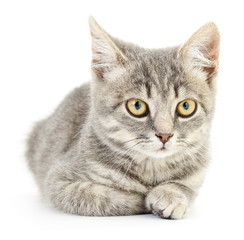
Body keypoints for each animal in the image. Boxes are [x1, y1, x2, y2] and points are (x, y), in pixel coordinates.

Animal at [26, 16, 219, 219]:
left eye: (186, 106)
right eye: (137, 106)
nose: (165, 135)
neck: (151, 168)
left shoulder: (196, 176)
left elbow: (185, 187)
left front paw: (170, 195)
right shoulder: (58, 181)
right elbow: (104, 197)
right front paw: (141, 198)